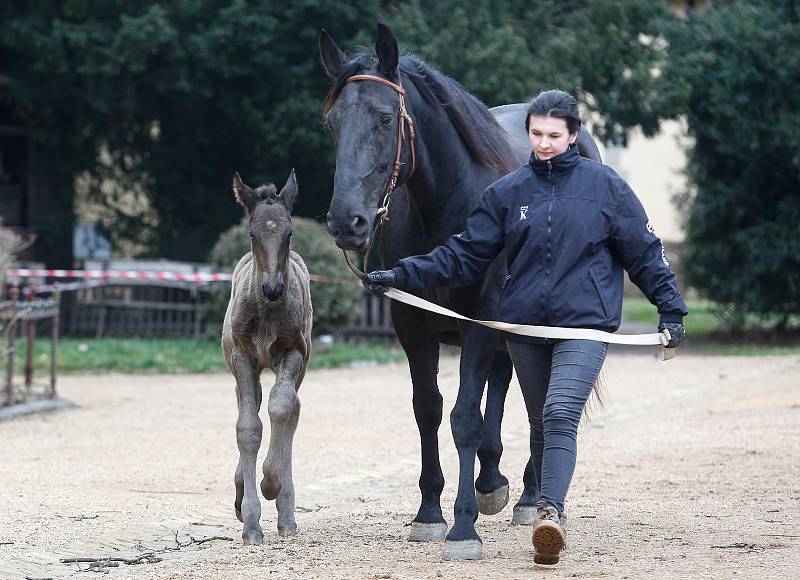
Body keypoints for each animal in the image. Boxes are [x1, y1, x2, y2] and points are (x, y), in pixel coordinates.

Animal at [318, 24, 600, 560]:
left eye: (385, 119)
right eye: (333, 124)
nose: (347, 222)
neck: (451, 205)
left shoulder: (479, 325)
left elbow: (465, 415)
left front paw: (464, 527)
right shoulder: (412, 326)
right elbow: (427, 409)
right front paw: (429, 512)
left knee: (532, 401)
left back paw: (529, 496)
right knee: (505, 385)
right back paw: (494, 482)